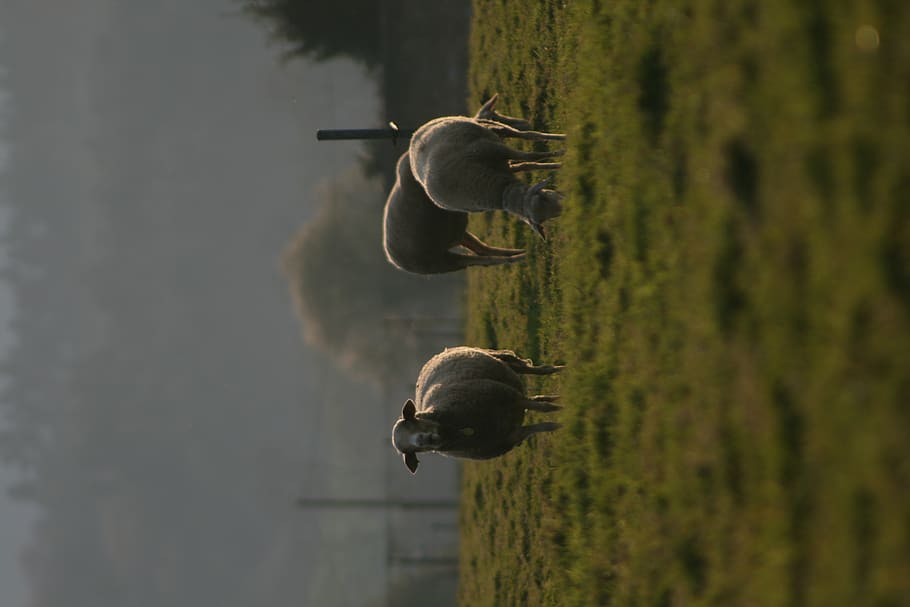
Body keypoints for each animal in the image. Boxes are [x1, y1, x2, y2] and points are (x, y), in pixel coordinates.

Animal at [382, 95, 537, 274]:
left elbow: (521, 165)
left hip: (454, 238)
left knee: (482, 250)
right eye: (495, 116)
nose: (527, 123)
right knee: (485, 260)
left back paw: (519, 252)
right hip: (439, 261)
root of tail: (394, 260)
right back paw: (519, 257)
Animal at [391, 346, 563, 473]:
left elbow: (545, 409)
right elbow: (543, 426)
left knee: (535, 371)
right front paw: (560, 423)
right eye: (411, 450)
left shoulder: (511, 397)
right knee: (536, 397)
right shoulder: (511, 436)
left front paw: (562, 410)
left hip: (502, 361)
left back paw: (558, 369)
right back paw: (554, 395)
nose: (426, 440)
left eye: (412, 421)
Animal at [408, 111, 566, 239]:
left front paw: (560, 156)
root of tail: (415, 134)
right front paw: (558, 164)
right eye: (544, 197)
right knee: (525, 164)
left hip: (490, 128)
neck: (499, 189)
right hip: (501, 159)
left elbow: (532, 155)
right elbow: (531, 161)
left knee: (528, 135)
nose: (565, 206)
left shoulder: (496, 148)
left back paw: (561, 138)